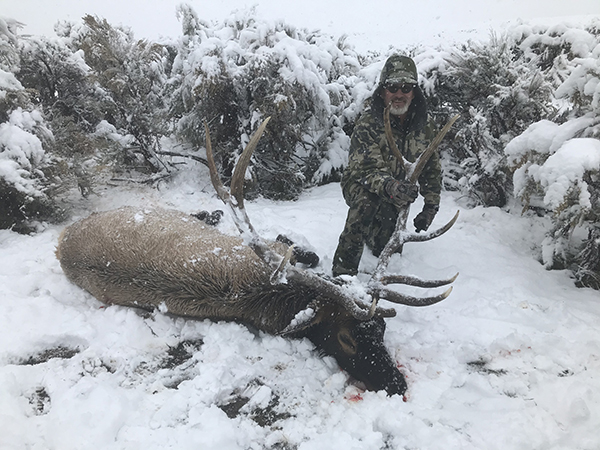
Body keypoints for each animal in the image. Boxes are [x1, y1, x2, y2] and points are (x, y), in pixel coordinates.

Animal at [57, 114, 460, 396]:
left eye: (382, 329)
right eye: (346, 338)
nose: (396, 383)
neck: (274, 296)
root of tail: (62, 239)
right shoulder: (277, 249)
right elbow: (300, 249)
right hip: (159, 212)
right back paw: (214, 213)